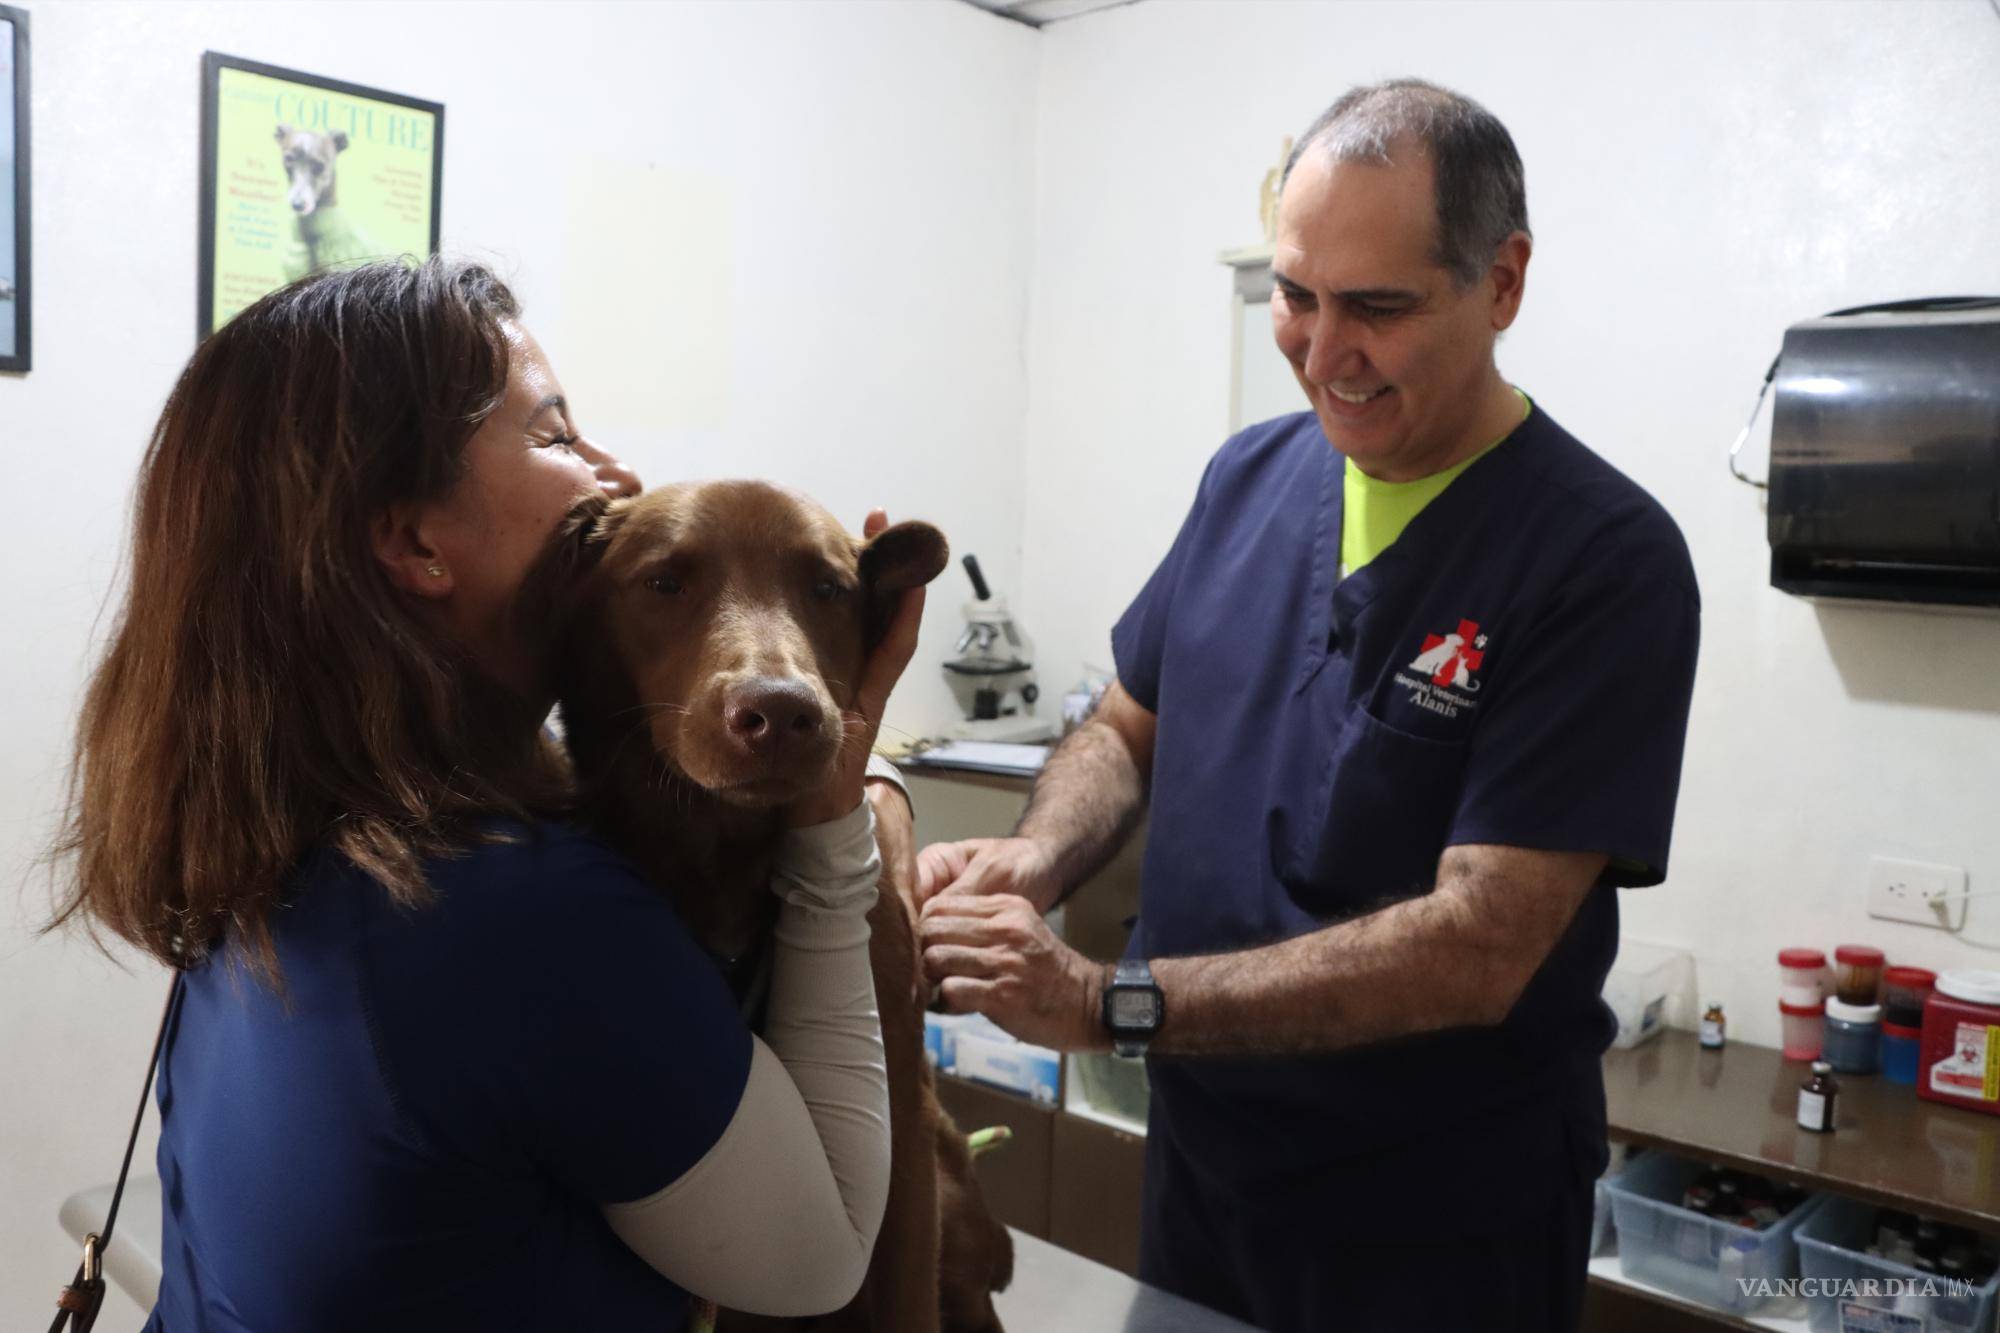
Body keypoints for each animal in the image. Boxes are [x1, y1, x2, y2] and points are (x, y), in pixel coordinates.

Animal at [544, 480, 1016, 1328]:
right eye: (663, 581)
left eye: (828, 589)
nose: (783, 714)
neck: (726, 852)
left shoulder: (899, 1111)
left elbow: (907, 1288)